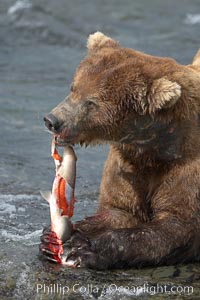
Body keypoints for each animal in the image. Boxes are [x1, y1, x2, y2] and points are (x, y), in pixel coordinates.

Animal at [40, 32, 200, 270]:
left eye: (91, 103)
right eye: (73, 87)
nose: (52, 120)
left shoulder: (186, 165)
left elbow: (177, 225)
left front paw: (87, 248)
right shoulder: (128, 165)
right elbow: (119, 209)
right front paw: (54, 237)